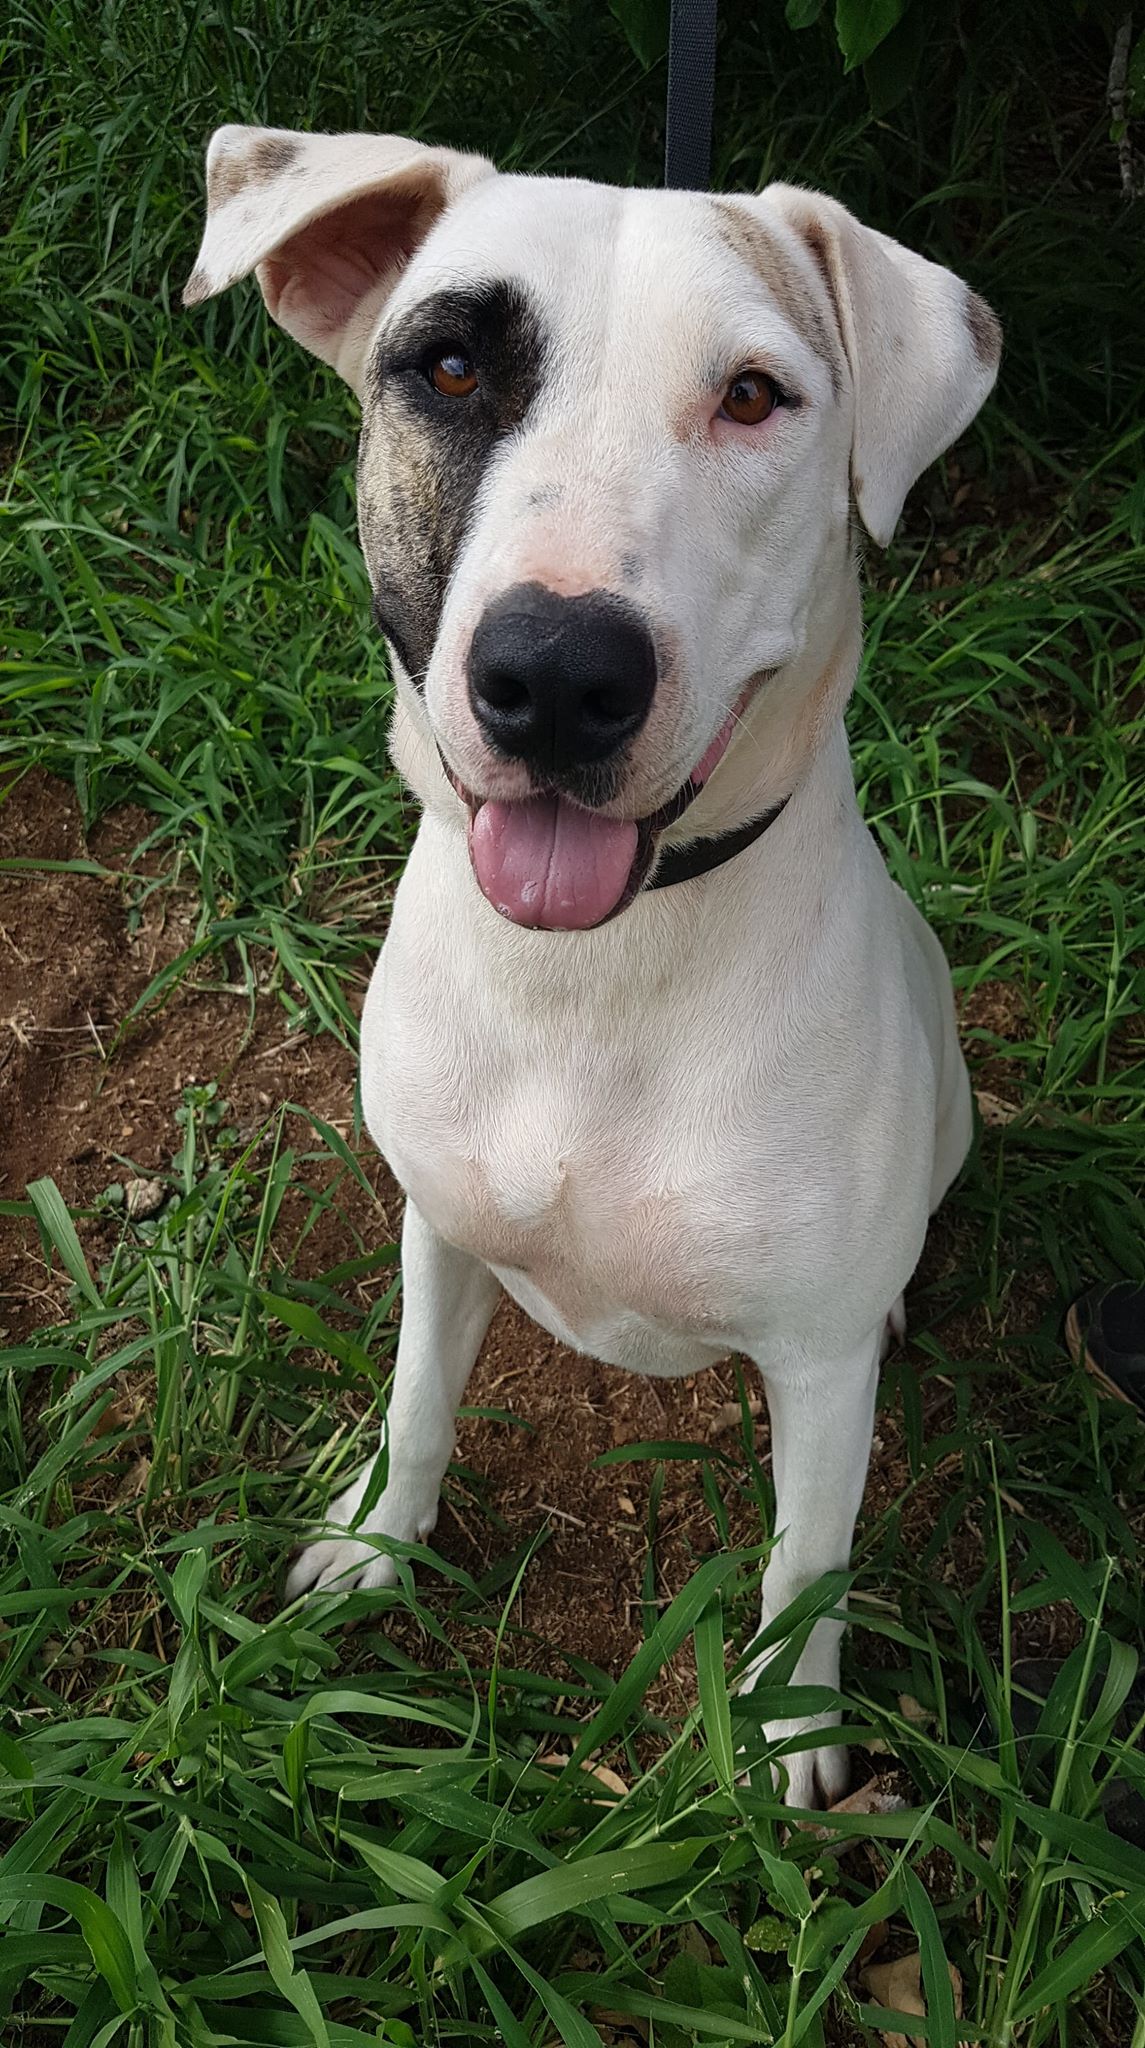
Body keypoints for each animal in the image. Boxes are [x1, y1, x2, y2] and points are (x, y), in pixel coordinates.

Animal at [186, 126, 999, 1806]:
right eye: (446, 367)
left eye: (753, 395)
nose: (558, 673)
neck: (595, 981)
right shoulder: (436, 1224)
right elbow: (418, 1402)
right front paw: (375, 1551)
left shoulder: (817, 1372)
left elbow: (802, 1564)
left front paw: (789, 1738)